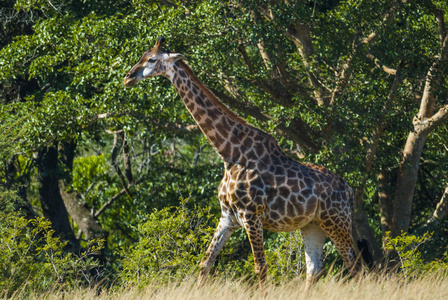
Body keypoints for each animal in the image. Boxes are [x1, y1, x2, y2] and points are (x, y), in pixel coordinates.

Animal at [124, 37, 362, 288]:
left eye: (151, 59)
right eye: (142, 55)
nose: (128, 77)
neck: (228, 153)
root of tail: (349, 190)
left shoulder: (251, 215)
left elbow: (260, 267)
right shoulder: (228, 217)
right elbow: (205, 263)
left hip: (336, 222)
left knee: (355, 265)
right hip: (313, 225)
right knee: (315, 269)